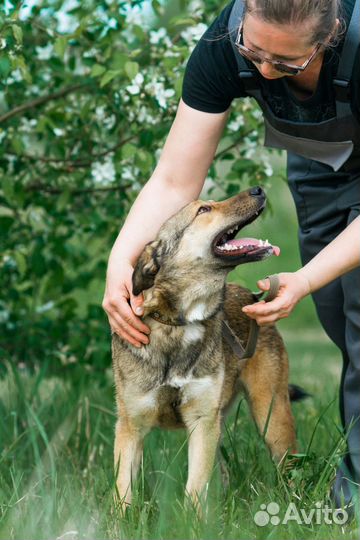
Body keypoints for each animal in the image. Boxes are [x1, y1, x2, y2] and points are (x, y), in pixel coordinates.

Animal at [114, 188, 296, 512]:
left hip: (273, 418)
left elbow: (195, 487)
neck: (180, 323)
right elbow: (123, 492)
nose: (258, 189)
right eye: (204, 210)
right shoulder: (130, 426)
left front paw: (192, 521)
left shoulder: (202, 422)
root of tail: (251, 295)